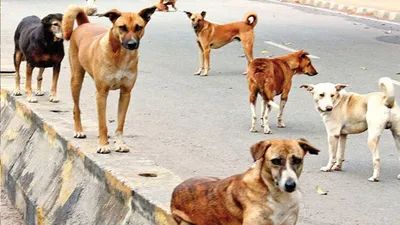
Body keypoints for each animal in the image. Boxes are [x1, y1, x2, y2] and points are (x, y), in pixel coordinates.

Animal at [62, 4, 156, 153]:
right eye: (122, 27)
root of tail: (84, 24)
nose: (132, 44)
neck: (120, 55)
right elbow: (102, 123)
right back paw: (79, 130)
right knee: (76, 108)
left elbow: (120, 124)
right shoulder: (101, 94)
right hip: (76, 79)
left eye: (138, 27)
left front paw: (119, 143)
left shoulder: (125, 93)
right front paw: (103, 144)